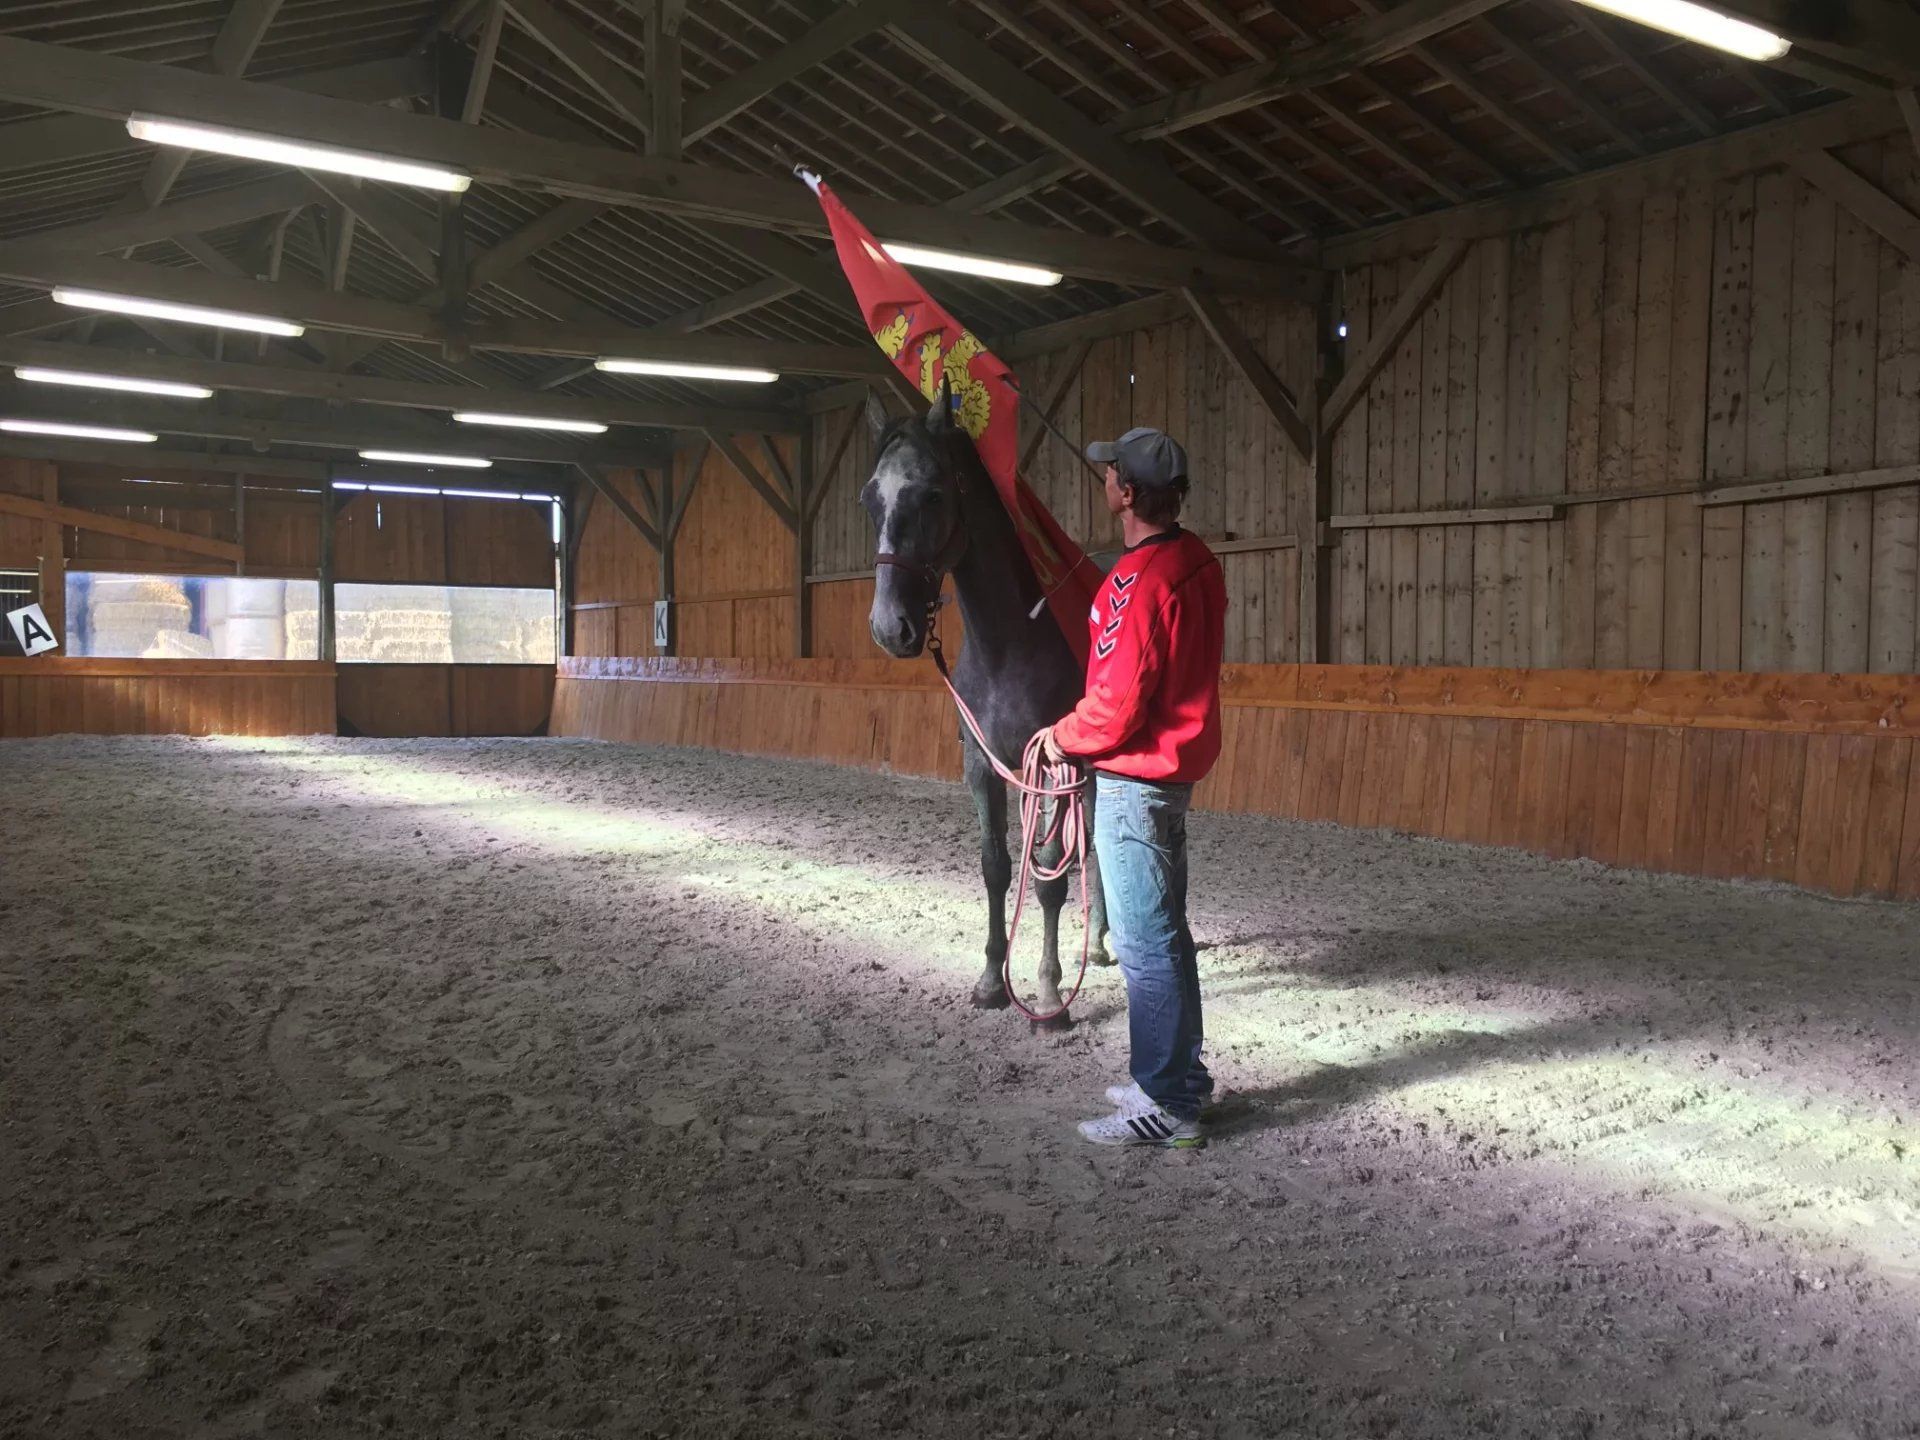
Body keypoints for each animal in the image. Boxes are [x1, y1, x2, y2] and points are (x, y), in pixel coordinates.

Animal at [860, 372, 1113, 1029]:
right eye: (870, 500)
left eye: (931, 495)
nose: (890, 627)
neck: (1009, 646)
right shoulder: (982, 763)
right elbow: (996, 867)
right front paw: (990, 981)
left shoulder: (1052, 767)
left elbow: (1048, 877)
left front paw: (1048, 994)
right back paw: (1102, 941)